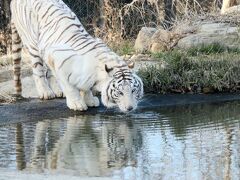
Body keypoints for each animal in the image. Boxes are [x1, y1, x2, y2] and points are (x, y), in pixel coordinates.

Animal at [10, 0, 143, 112]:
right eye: (120, 93)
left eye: (133, 90)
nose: (130, 108)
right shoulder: (58, 61)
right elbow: (69, 87)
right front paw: (77, 104)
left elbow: (85, 87)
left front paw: (89, 100)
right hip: (32, 44)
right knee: (38, 71)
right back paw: (46, 92)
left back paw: (58, 91)